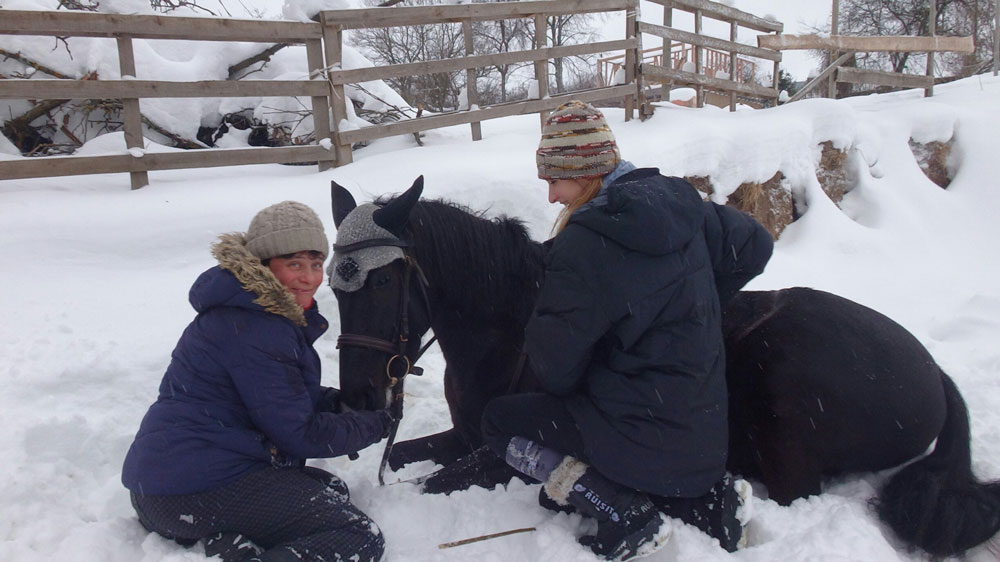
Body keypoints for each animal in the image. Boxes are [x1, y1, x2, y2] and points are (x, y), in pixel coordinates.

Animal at [328, 176, 1000, 556]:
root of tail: (934, 374)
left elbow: (431, 480)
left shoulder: (493, 450)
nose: (358, 398)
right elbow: (404, 457)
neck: (509, 329)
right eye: (336, 286)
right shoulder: (463, 434)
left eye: (383, 280)